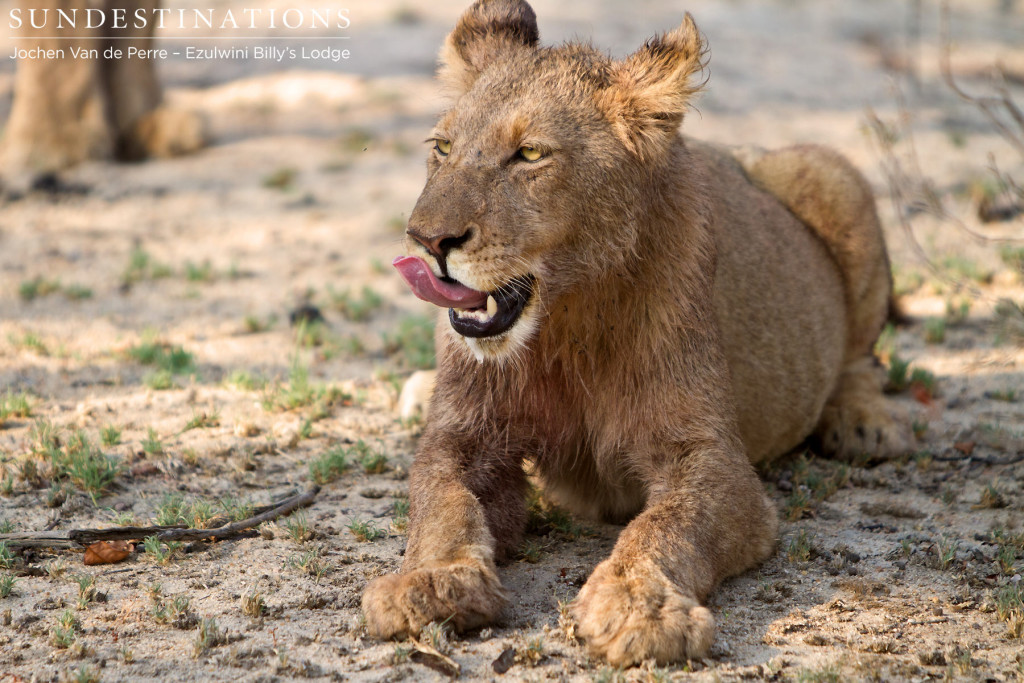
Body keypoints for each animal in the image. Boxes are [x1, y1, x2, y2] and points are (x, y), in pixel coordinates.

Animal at [364, 0, 909, 663]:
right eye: (442, 147)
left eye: (530, 155)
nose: (427, 240)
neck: (564, 323)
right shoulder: (463, 435)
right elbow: (441, 502)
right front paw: (430, 583)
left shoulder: (709, 457)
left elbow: (666, 525)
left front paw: (636, 606)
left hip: (832, 172)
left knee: (860, 357)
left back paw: (865, 424)